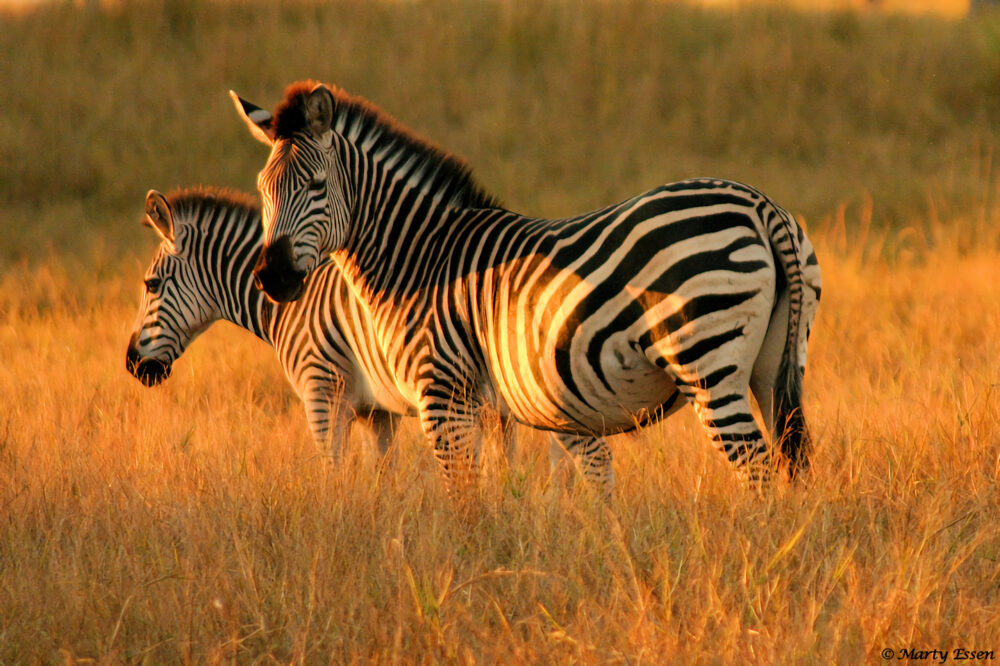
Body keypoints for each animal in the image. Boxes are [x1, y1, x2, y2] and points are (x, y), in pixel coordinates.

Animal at [230, 81, 822, 495]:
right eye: (261, 188)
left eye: (315, 186)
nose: (272, 277)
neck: (420, 257)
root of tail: (760, 205)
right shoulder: (488, 406)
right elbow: (496, 485)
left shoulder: (442, 392)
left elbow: (463, 494)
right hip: (774, 366)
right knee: (787, 462)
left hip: (709, 362)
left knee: (756, 469)